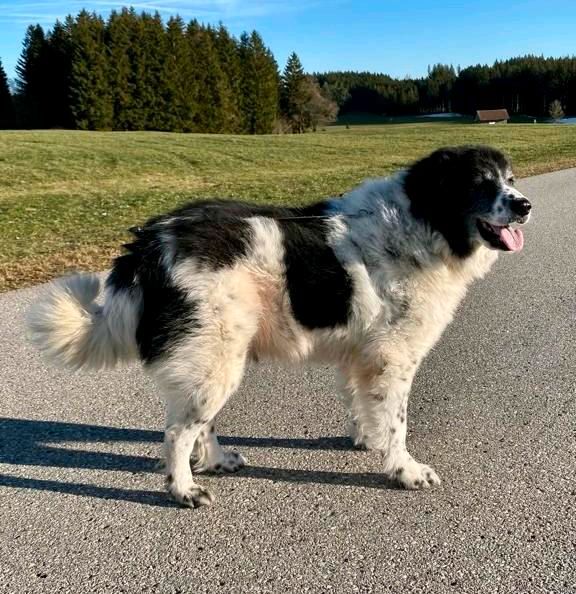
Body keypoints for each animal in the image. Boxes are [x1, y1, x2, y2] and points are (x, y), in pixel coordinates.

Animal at [27, 143, 532, 504]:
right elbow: (398, 422)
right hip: (214, 355)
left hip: (217, 356)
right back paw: (184, 489)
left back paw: (216, 461)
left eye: (509, 180)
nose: (525, 204)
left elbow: (365, 407)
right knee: (177, 433)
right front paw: (404, 469)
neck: (423, 221)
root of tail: (153, 240)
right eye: (479, 184)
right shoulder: (393, 356)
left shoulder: (362, 354)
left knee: (199, 423)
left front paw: (367, 442)